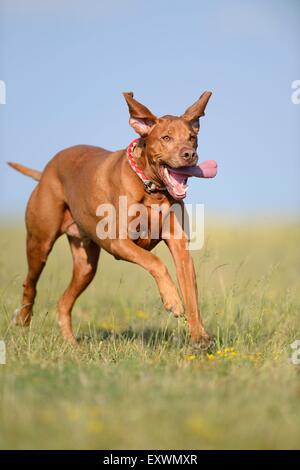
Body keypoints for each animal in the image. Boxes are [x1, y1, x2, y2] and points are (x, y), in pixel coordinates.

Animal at [8, 92, 216, 348]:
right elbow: (155, 261)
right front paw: (173, 300)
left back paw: (72, 345)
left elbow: (191, 294)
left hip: (86, 266)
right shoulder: (118, 242)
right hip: (40, 242)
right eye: (166, 137)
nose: (189, 154)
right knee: (31, 282)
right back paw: (24, 317)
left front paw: (199, 336)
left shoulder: (180, 246)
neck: (151, 189)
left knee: (63, 302)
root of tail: (46, 171)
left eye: (192, 137)